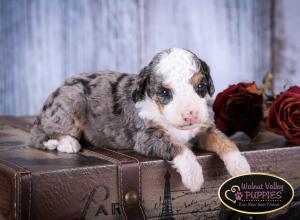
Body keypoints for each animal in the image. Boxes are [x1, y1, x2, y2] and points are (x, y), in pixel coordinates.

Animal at [30, 47, 251, 191]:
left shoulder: (202, 128)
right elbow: (179, 147)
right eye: (164, 92)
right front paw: (194, 175)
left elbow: (224, 141)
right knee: (44, 132)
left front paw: (240, 165)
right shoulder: (146, 137)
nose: (190, 114)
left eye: (200, 86)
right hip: (69, 103)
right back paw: (67, 142)